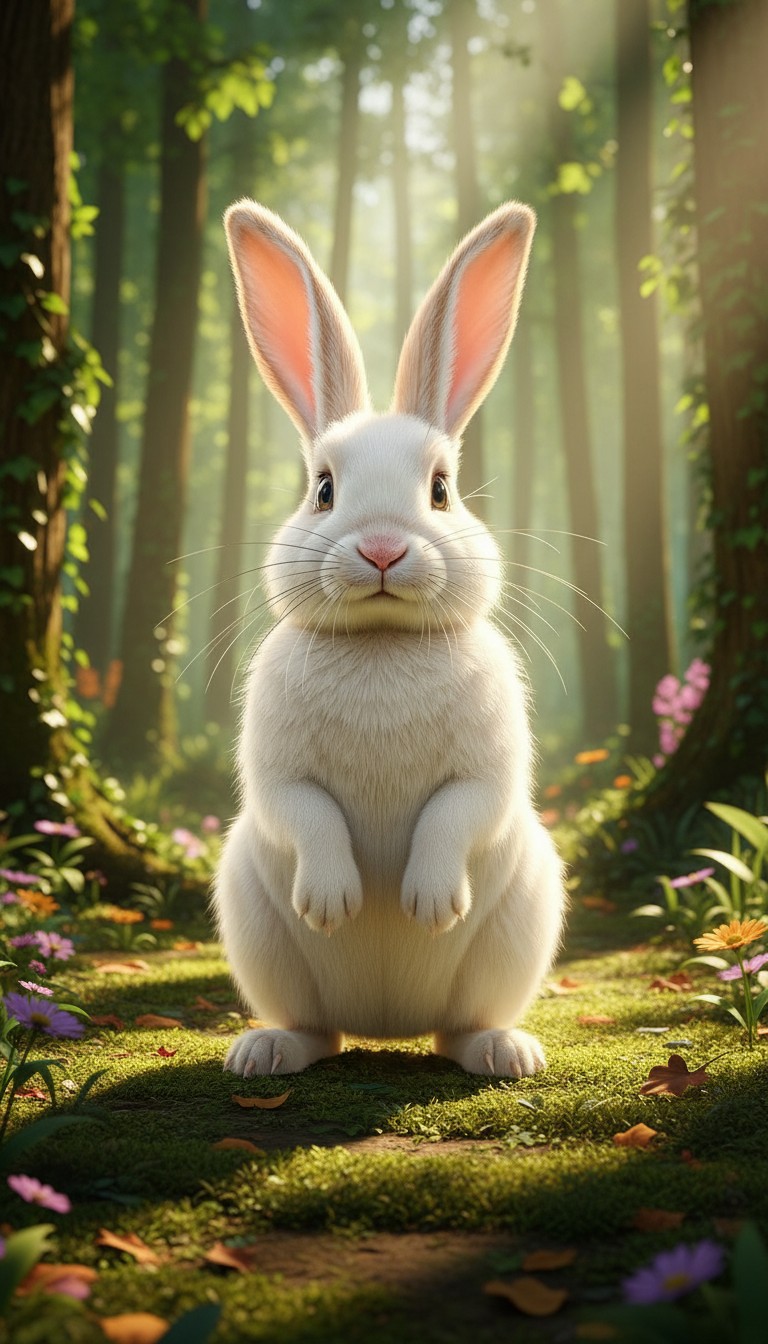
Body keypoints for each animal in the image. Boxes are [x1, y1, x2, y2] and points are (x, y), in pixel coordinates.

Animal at [212, 198, 566, 1079]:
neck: (381, 641)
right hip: (256, 926)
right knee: (316, 1027)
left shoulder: (489, 769)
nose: (380, 549)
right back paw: (267, 1051)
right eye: (322, 489)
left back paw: (503, 1052)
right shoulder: (276, 773)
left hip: (519, 924)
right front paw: (334, 901)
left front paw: (429, 902)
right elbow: (303, 812)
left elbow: (458, 811)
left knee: (460, 1025)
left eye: (440, 490)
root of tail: (387, 1025)